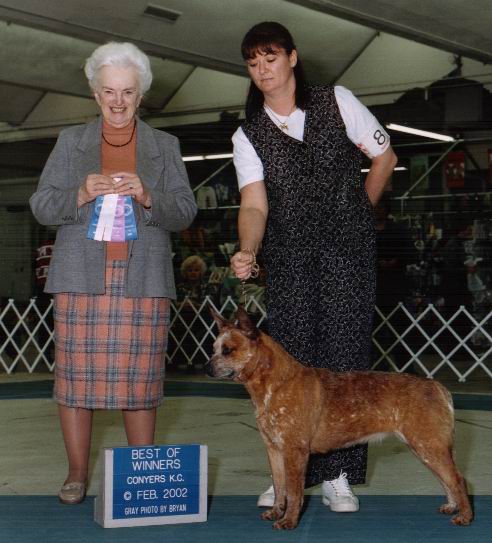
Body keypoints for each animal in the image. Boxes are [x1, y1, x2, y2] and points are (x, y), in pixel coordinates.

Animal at [205, 308, 472, 528]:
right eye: (214, 348)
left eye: (228, 350)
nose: (207, 369)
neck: (276, 384)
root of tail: (437, 387)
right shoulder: (274, 449)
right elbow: (280, 487)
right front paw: (276, 512)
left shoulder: (295, 450)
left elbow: (294, 491)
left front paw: (289, 521)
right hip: (425, 448)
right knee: (446, 479)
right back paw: (452, 506)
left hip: (428, 445)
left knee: (458, 478)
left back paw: (465, 516)